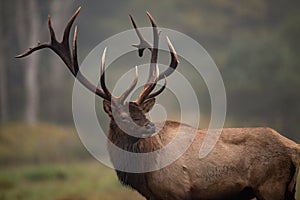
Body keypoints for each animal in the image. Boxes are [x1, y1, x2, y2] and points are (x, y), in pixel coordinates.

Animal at [17, 6, 300, 200]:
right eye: (123, 115)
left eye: (143, 112)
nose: (150, 127)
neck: (143, 173)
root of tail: (293, 149)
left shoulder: (176, 192)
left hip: (270, 187)